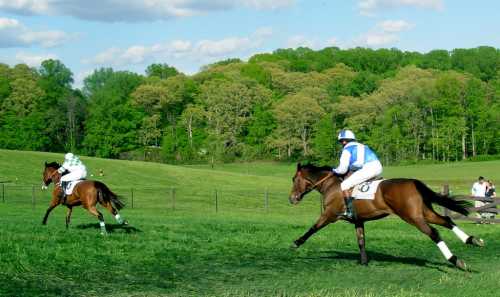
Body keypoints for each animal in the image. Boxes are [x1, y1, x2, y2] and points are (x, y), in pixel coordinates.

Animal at [290, 163, 484, 270]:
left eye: (293, 179)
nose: (291, 198)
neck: (331, 185)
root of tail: (413, 182)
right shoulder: (358, 220)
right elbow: (361, 241)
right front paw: (364, 261)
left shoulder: (330, 214)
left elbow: (313, 228)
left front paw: (296, 242)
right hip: (424, 212)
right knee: (447, 221)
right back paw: (472, 240)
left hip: (412, 217)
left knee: (434, 232)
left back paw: (455, 260)